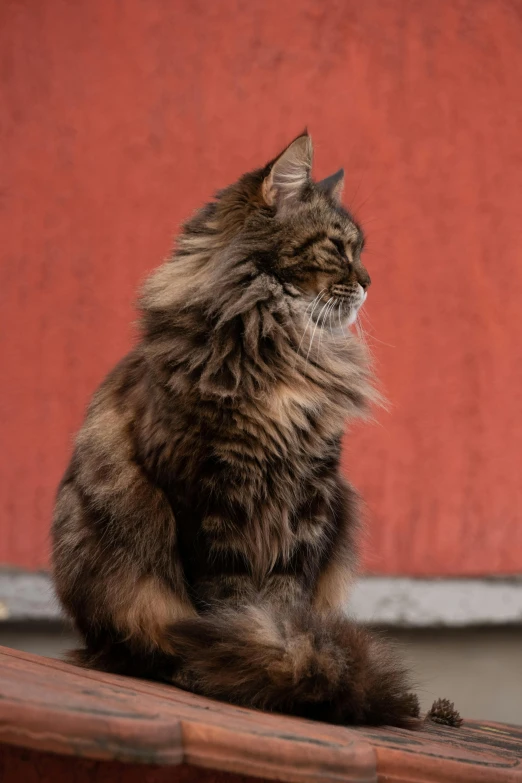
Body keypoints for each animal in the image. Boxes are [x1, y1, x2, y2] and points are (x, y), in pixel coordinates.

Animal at [50, 135, 420, 728]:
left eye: (360, 252)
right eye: (337, 249)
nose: (368, 282)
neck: (274, 343)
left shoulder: (312, 492)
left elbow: (287, 596)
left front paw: (284, 655)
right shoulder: (208, 488)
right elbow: (226, 597)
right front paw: (254, 659)